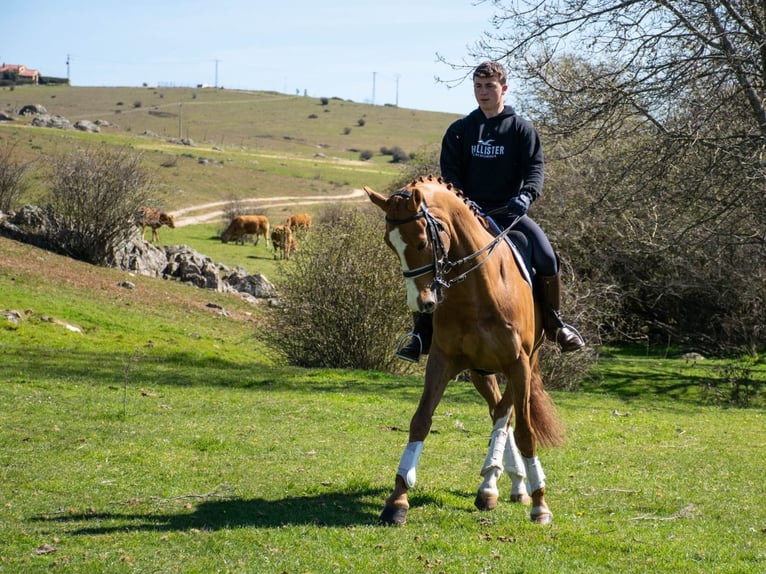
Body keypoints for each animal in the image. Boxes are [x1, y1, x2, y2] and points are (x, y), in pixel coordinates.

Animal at [365, 175, 565, 525]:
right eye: (391, 245)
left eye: (422, 243)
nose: (422, 304)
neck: (478, 290)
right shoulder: (441, 361)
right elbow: (420, 421)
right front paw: (398, 499)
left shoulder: (518, 364)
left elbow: (526, 432)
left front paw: (541, 505)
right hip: (480, 372)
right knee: (499, 411)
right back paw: (497, 485)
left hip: (525, 362)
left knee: (505, 414)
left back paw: (503, 485)